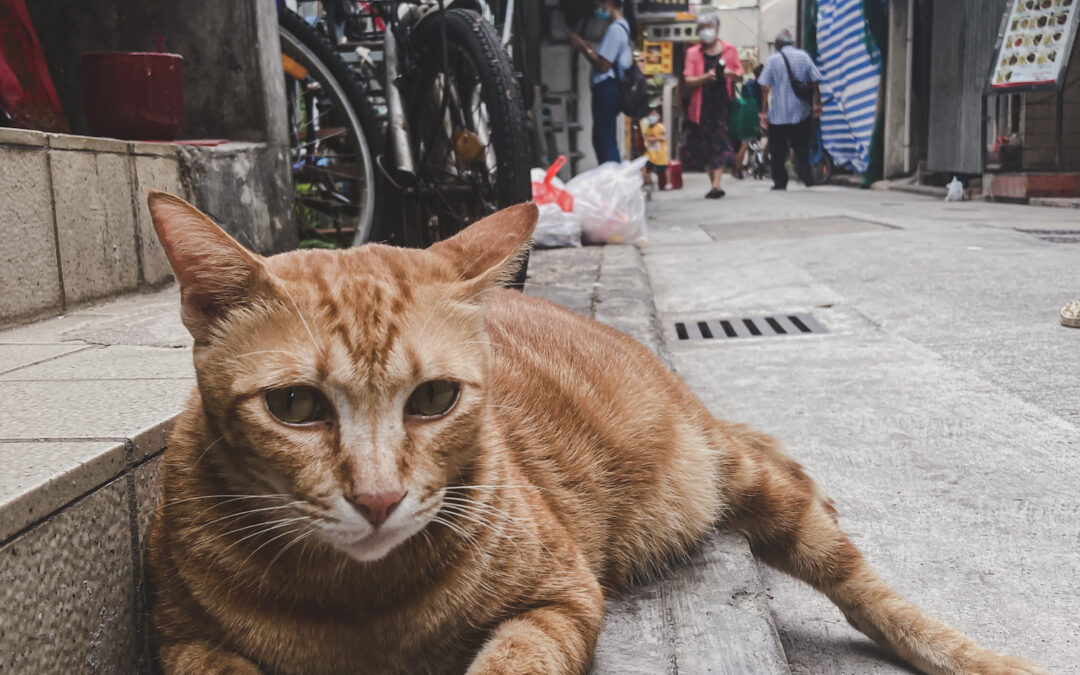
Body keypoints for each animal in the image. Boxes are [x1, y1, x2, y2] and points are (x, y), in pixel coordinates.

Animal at [145, 191, 1045, 673]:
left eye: (434, 397)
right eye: (296, 407)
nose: (377, 498)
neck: (358, 606)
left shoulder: (562, 597)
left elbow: (511, 657)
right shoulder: (184, 642)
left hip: (743, 481)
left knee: (863, 583)